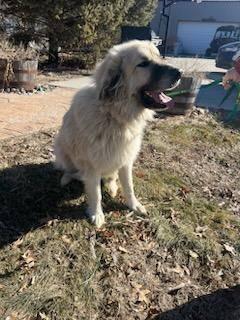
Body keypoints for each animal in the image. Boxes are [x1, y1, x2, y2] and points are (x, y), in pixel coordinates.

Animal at [54, 40, 181, 228]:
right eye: (143, 63)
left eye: (159, 56)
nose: (181, 73)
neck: (113, 115)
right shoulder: (92, 166)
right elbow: (96, 193)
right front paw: (97, 214)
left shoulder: (125, 159)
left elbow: (129, 186)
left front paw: (134, 205)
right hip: (61, 147)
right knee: (70, 171)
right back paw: (68, 177)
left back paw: (112, 186)